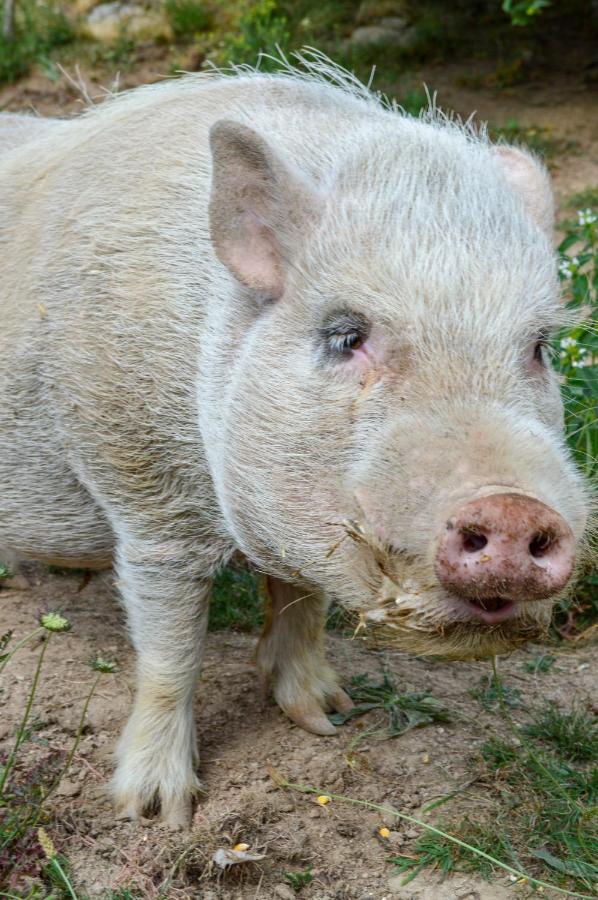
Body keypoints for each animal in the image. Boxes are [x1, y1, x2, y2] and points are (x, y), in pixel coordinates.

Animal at [0, 56, 592, 828]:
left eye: (540, 347)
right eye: (344, 335)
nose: (515, 509)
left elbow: (301, 599)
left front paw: (328, 717)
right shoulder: (144, 492)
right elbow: (171, 649)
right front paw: (157, 812)